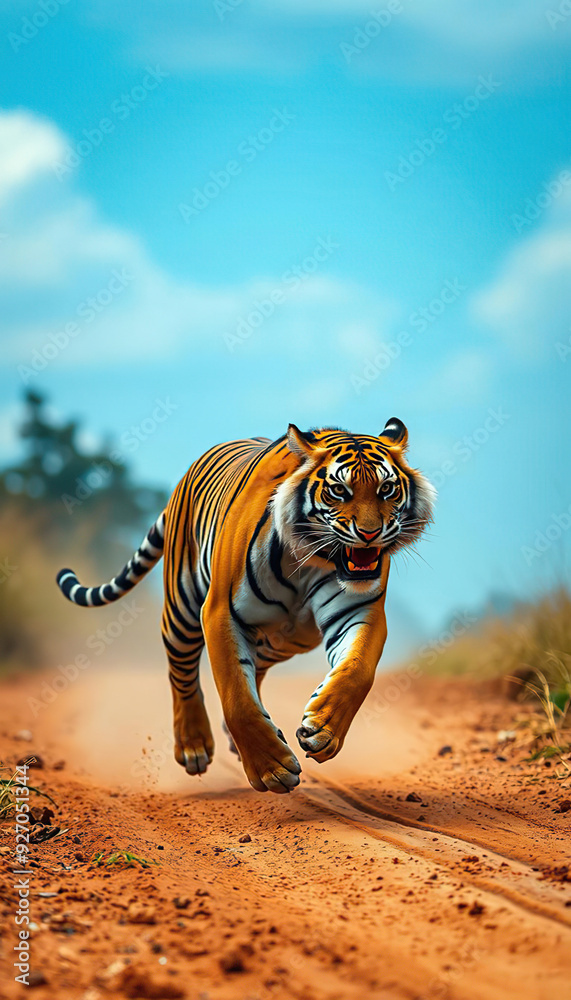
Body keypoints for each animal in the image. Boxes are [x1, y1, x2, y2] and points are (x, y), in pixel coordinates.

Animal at [57, 417, 435, 794]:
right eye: (339, 491)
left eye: (387, 489)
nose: (370, 534)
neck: (309, 557)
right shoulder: (220, 612)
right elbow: (236, 695)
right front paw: (272, 769)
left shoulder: (359, 610)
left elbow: (357, 671)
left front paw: (322, 729)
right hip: (182, 610)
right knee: (181, 672)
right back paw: (193, 745)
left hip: (292, 637)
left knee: (258, 662)